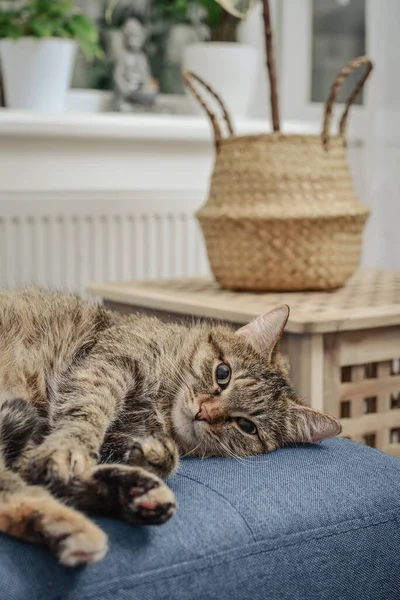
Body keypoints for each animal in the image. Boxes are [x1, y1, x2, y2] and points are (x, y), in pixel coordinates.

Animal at [0, 288, 340, 564]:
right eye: (223, 373)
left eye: (246, 426)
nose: (205, 412)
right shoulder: (107, 364)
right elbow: (86, 414)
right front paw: (70, 448)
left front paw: (150, 455)